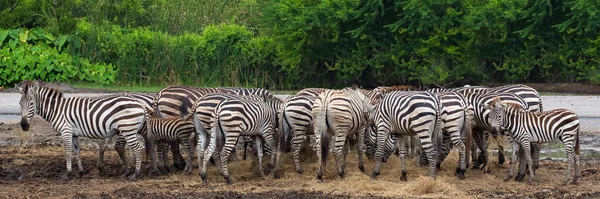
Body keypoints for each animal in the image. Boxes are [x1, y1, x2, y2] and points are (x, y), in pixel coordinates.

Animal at [17, 80, 146, 182]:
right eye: (20, 104)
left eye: (32, 103)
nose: (24, 125)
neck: (57, 109)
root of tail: (140, 103)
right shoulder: (74, 134)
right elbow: (76, 151)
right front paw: (81, 172)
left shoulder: (66, 131)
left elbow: (68, 152)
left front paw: (67, 173)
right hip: (128, 129)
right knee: (133, 148)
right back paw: (129, 172)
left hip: (128, 129)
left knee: (138, 148)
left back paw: (135, 175)